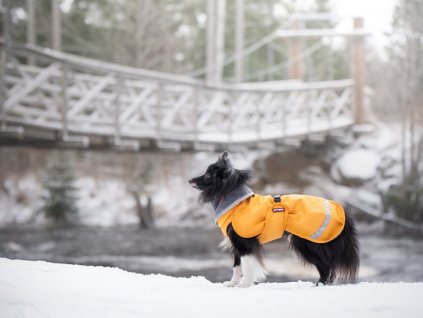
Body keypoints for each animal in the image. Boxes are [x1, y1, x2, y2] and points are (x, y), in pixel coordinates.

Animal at [190, 152, 360, 288]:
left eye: (208, 175)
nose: (190, 180)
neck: (234, 201)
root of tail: (341, 211)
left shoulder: (244, 243)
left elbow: (247, 267)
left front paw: (245, 285)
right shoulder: (237, 243)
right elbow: (237, 267)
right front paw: (232, 284)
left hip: (306, 244)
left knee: (326, 267)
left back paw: (318, 286)